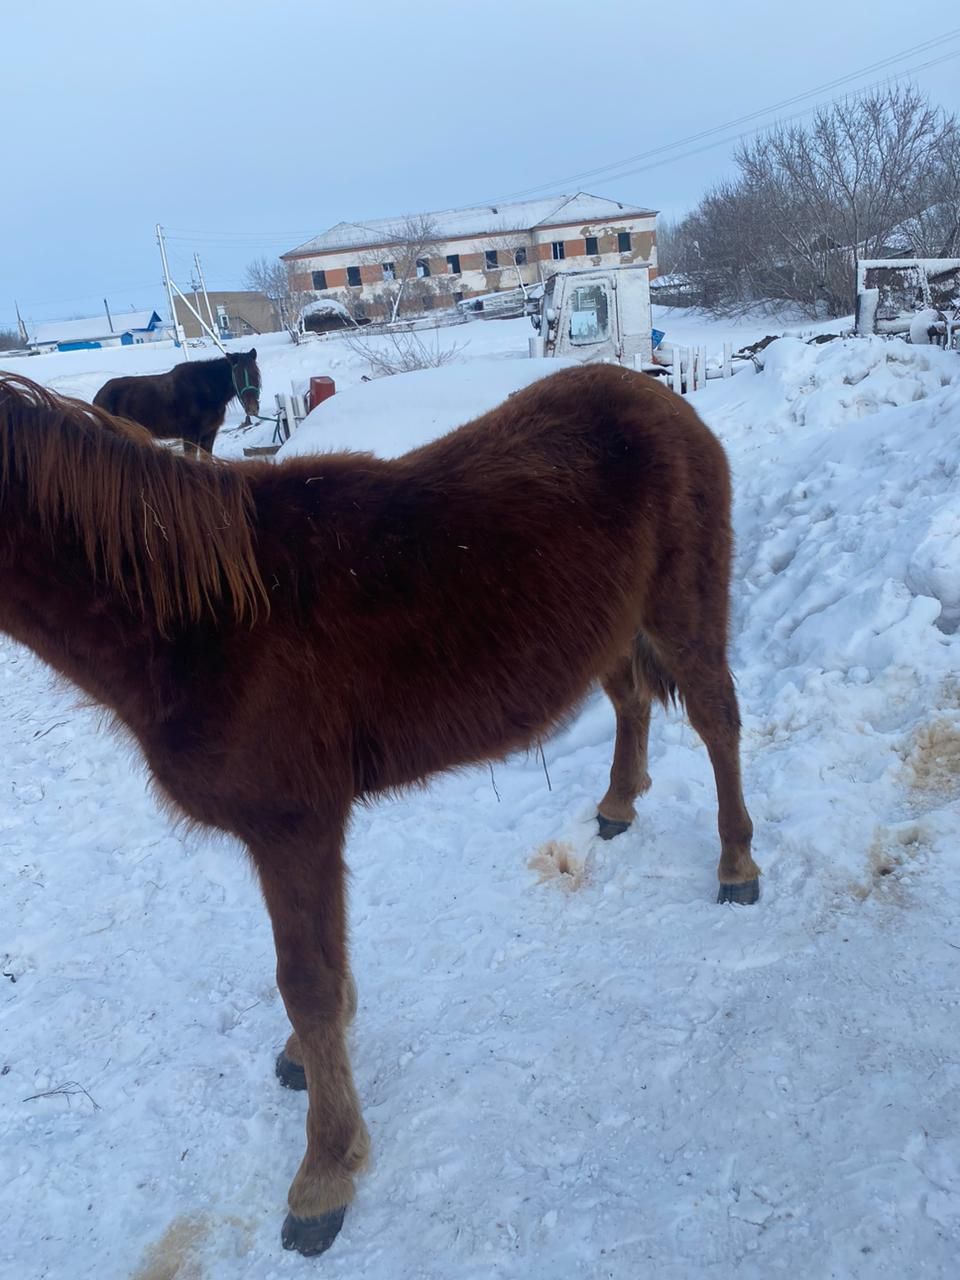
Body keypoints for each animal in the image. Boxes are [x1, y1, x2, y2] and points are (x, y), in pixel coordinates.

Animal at [0, 363, 757, 1259]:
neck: (198, 614)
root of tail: (662, 398)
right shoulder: (294, 834)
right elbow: (319, 972)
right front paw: (310, 1067)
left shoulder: (293, 827)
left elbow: (308, 982)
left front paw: (324, 1174)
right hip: (610, 627)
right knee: (631, 698)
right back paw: (616, 804)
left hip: (683, 612)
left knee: (717, 721)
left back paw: (737, 864)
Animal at [92, 348, 261, 453]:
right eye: (237, 375)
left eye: (256, 374)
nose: (252, 408)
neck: (206, 391)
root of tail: (97, 397)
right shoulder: (190, 436)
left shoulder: (209, 434)